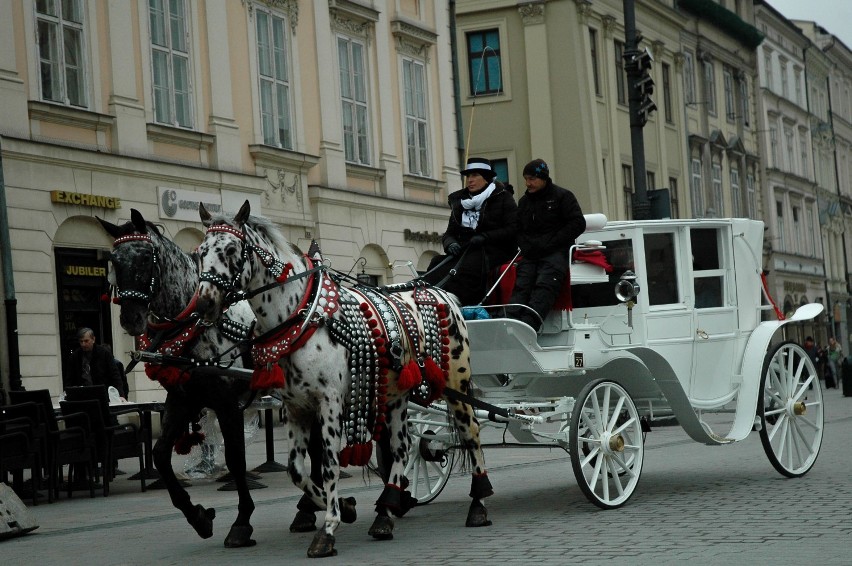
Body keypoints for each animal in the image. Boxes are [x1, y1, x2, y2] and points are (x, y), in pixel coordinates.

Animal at [97, 211, 260, 548]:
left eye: (145, 257)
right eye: (114, 261)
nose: (131, 319)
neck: (193, 326)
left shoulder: (227, 404)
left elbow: (236, 459)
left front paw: (242, 521)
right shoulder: (183, 399)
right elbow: (160, 455)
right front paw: (197, 515)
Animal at [193, 200, 492, 560]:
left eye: (230, 250)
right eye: (199, 252)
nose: (204, 303)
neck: (302, 316)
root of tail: (444, 293)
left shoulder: (330, 403)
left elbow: (329, 465)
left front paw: (329, 528)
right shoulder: (296, 408)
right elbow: (297, 470)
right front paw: (343, 508)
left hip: (457, 388)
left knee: (471, 434)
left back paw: (478, 503)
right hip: (397, 396)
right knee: (402, 448)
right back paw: (386, 511)